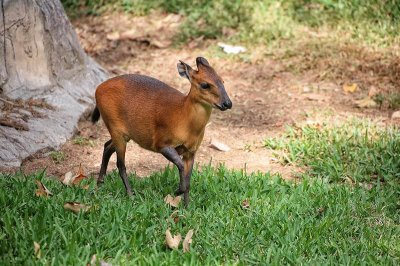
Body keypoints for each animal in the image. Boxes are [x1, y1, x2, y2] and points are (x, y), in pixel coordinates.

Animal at [91, 57, 231, 208]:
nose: (228, 103)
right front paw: (177, 191)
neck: (183, 118)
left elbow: (188, 179)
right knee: (120, 164)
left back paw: (99, 184)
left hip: (123, 133)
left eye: (222, 81)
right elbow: (180, 165)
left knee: (107, 146)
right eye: (205, 85)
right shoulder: (161, 143)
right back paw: (130, 195)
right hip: (115, 127)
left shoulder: (191, 152)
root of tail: (98, 89)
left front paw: (186, 207)